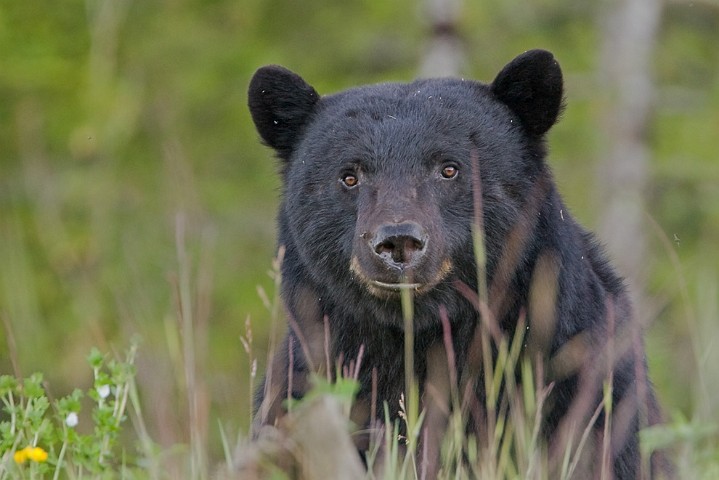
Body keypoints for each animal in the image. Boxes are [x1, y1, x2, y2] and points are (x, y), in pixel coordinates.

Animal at [250, 49, 668, 480]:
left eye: (449, 168)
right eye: (349, 176)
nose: (398, 241)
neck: (421, 336)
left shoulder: (581, 383)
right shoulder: (307, 385)